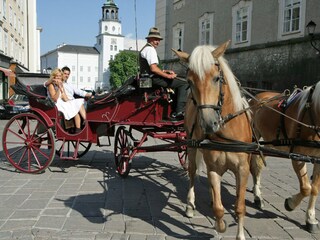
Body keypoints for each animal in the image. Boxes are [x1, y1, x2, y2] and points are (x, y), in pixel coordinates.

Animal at [172, 40, 252, 239]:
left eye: (217, 78)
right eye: (189, 82)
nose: (208, 124)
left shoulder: (243, 169)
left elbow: (240, 206)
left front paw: (240, 233)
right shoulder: (214, 168)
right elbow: (219, 208)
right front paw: (220, 225)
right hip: (191, 146)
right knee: (192, 172)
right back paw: (190, 205)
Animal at [251, 84, 320, 232]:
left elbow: (315, 188)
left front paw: (310, 218)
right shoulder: (297, 156)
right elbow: (306, 187)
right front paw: (290, 204)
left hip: (269, 142)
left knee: (257, 163)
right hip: (254, 136)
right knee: (254, 165)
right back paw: (258, 196)